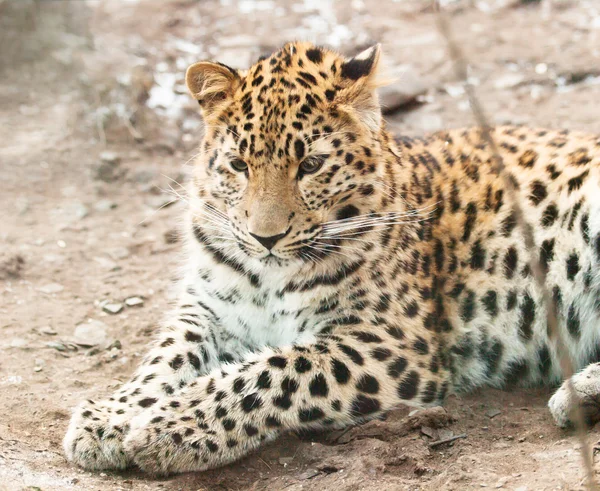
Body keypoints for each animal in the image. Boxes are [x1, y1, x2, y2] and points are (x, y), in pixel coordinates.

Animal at [62, 42, 600, 476]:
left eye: (311, 165)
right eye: (238, 165)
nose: (265, 237)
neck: (266, 275)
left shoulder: (390, 342)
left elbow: (270, 371)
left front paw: (171, 425)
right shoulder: (208, 312)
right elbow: (163, 359)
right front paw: (110, 417)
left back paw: (574, 395)